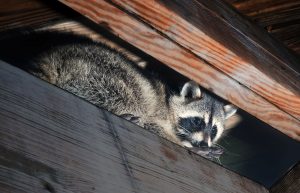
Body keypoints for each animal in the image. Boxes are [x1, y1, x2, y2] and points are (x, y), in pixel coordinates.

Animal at [0, 30, 237, 159]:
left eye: (214, 129)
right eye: (197, 121)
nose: (204, 144)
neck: (170, 103)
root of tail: (54, 56)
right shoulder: (158, 113)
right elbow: (154, 126)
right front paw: (188, 147)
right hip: (100, 74)